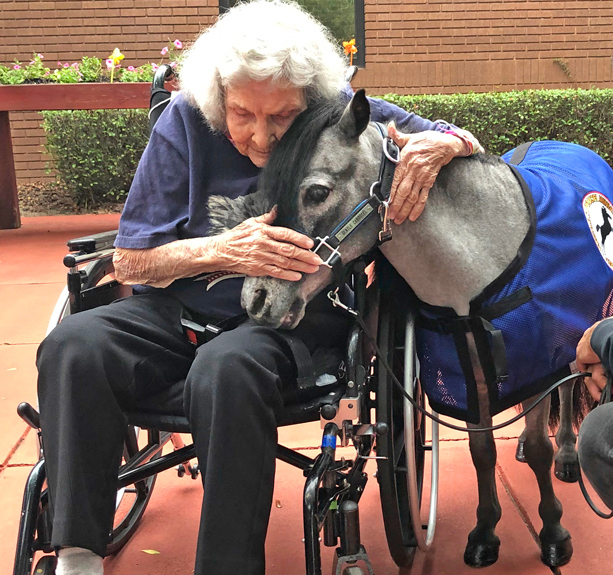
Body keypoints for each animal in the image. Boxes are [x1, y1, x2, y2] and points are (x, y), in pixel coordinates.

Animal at [209, 92, 612, 568]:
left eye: (317, 192)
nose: (256, 299)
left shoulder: (537, 362)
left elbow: (537, 447)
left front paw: (553, 532)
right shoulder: (469, 374)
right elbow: (481, 451)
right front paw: (485, 531)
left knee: (567, 387)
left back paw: (567, 454)